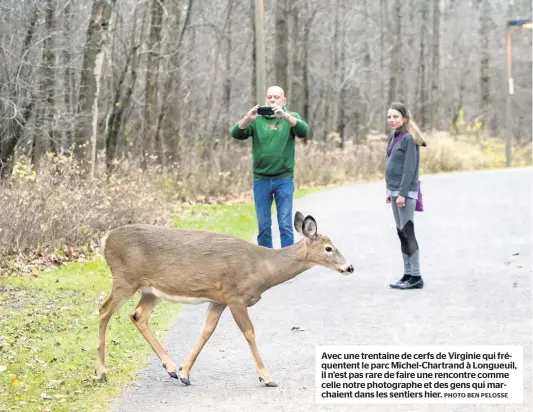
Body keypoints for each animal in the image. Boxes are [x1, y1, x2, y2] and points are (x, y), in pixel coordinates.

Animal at [95, 211, 354, 388]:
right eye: (329, 248)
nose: (349, 267)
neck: (262, 267)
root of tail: (105, 239)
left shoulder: (218, 298)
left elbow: (207, 331)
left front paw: (185, 373)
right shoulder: (235, 295)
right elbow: (249, 333)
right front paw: (266, 377)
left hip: (150, 290)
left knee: (137, 315)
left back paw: (170, 367)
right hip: (125, 279)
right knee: (103, 310)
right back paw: (102, 372)